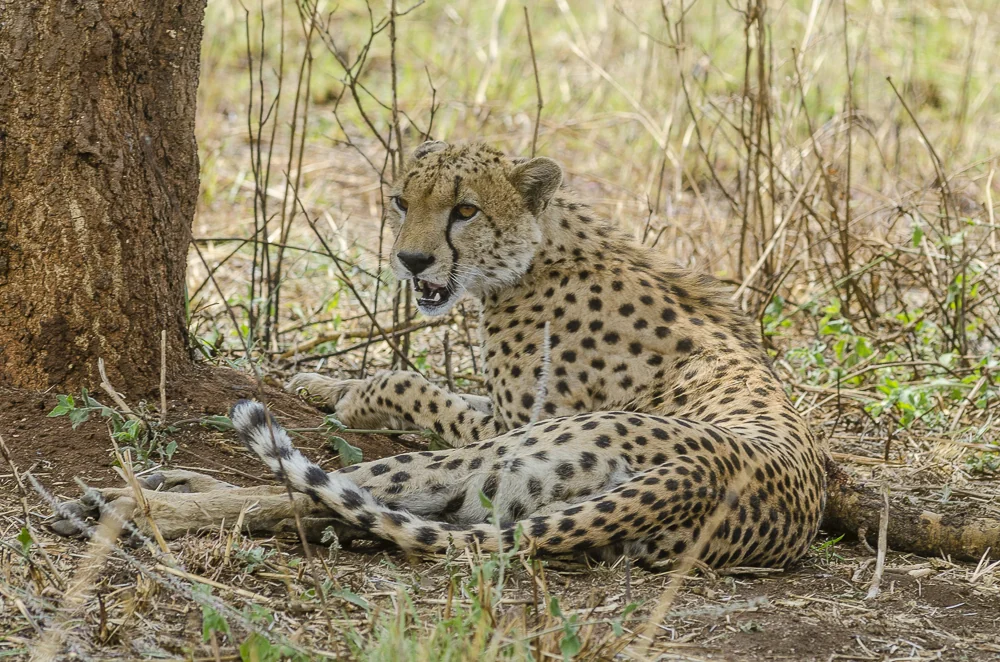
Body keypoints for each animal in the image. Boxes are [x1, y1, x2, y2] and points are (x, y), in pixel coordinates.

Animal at [52, 141, 827, 570]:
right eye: (400, 200)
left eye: (465, 210)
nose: (412, 259)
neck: (538, 252)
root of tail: (700, 476)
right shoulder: (497, 413)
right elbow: (416, 381)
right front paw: (318, 379)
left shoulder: (508, 422)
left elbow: (406, 381)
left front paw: (351, 395)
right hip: (499, 501)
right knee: (325, 508)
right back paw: (166, 485)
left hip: (494, 461)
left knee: (307, 492)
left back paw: (130, 499)